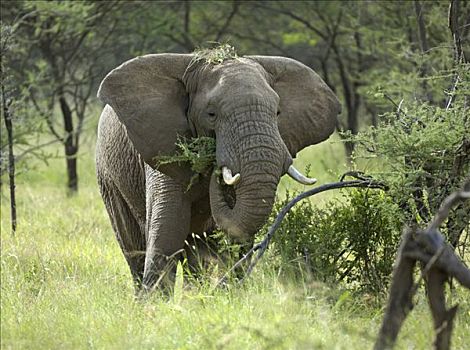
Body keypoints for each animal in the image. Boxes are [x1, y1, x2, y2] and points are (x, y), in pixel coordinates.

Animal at [95, 50, 340, 292]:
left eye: (278, 112)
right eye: (211, 114)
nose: (214, 163)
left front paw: (230, 292)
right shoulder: (162, 144)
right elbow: (168, 228)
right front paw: (154, 301)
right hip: (108, 177)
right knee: (133, 246)